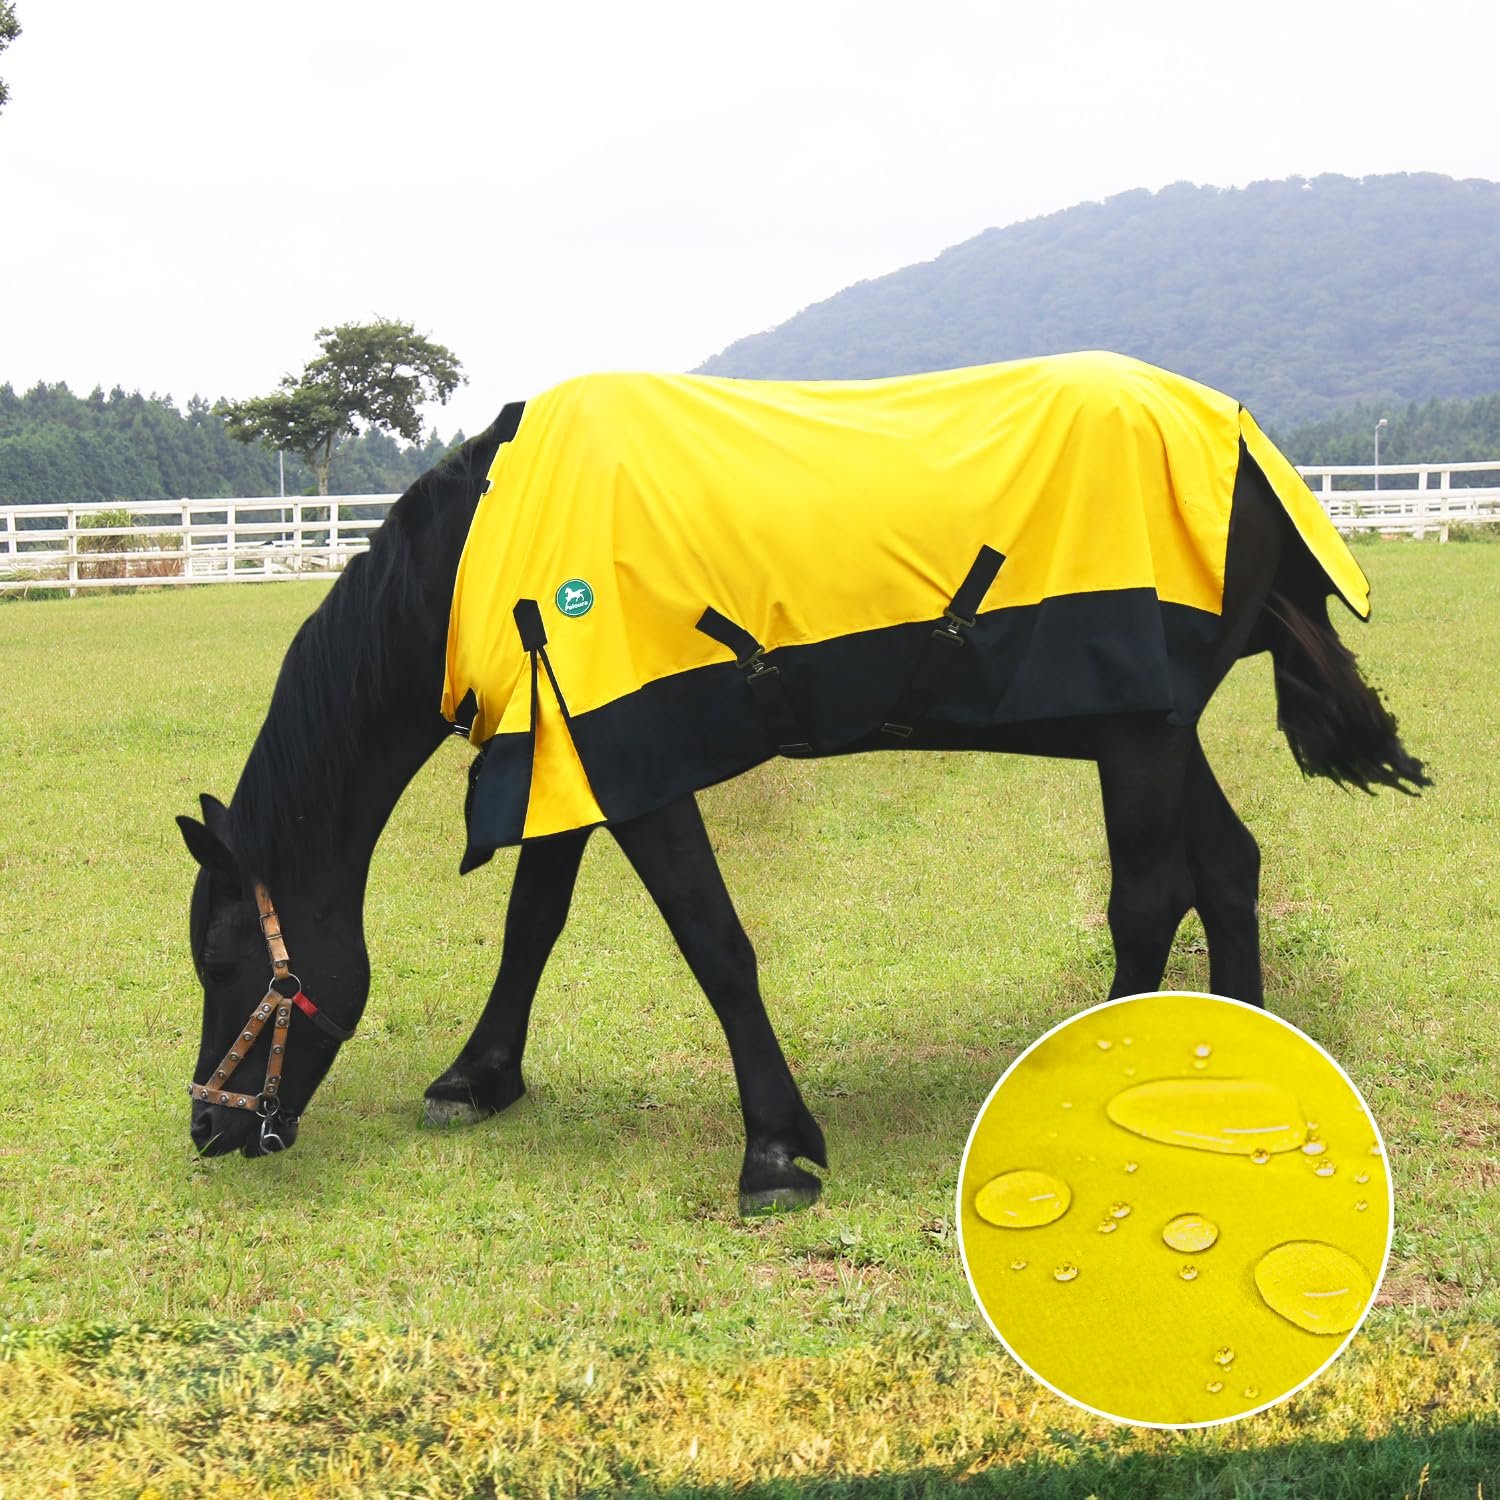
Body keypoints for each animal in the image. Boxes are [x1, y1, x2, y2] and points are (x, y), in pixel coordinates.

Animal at [177, 362, 1427, 1214]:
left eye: (225, 961)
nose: (211, 1127)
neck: (493, 552)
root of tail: (1242, 438)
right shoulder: (570, 756)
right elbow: (534, 925)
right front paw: (476, 1078)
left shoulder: (634, 767)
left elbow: (715, 946)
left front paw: (776, 1147)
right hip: (1150, 726)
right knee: (1229, 867)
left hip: (1136, 733)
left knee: (1152, 895)